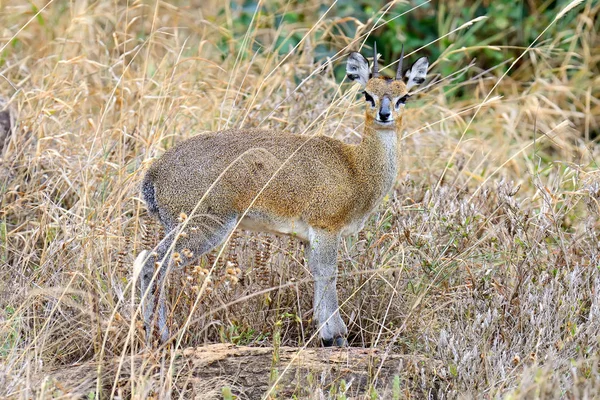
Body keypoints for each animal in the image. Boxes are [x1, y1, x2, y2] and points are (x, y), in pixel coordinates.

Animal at [137, 44, 426, 346]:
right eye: (367, 94)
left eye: (404, 96)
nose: (385, 114)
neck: (355, 167)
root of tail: (154, 173)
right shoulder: (326, 228)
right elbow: (329, 274)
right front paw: (337, 336)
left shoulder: (309, 237)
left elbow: (317, 275)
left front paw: (325, 333)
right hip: (203, 227)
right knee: (151, 263)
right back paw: (159, 336)